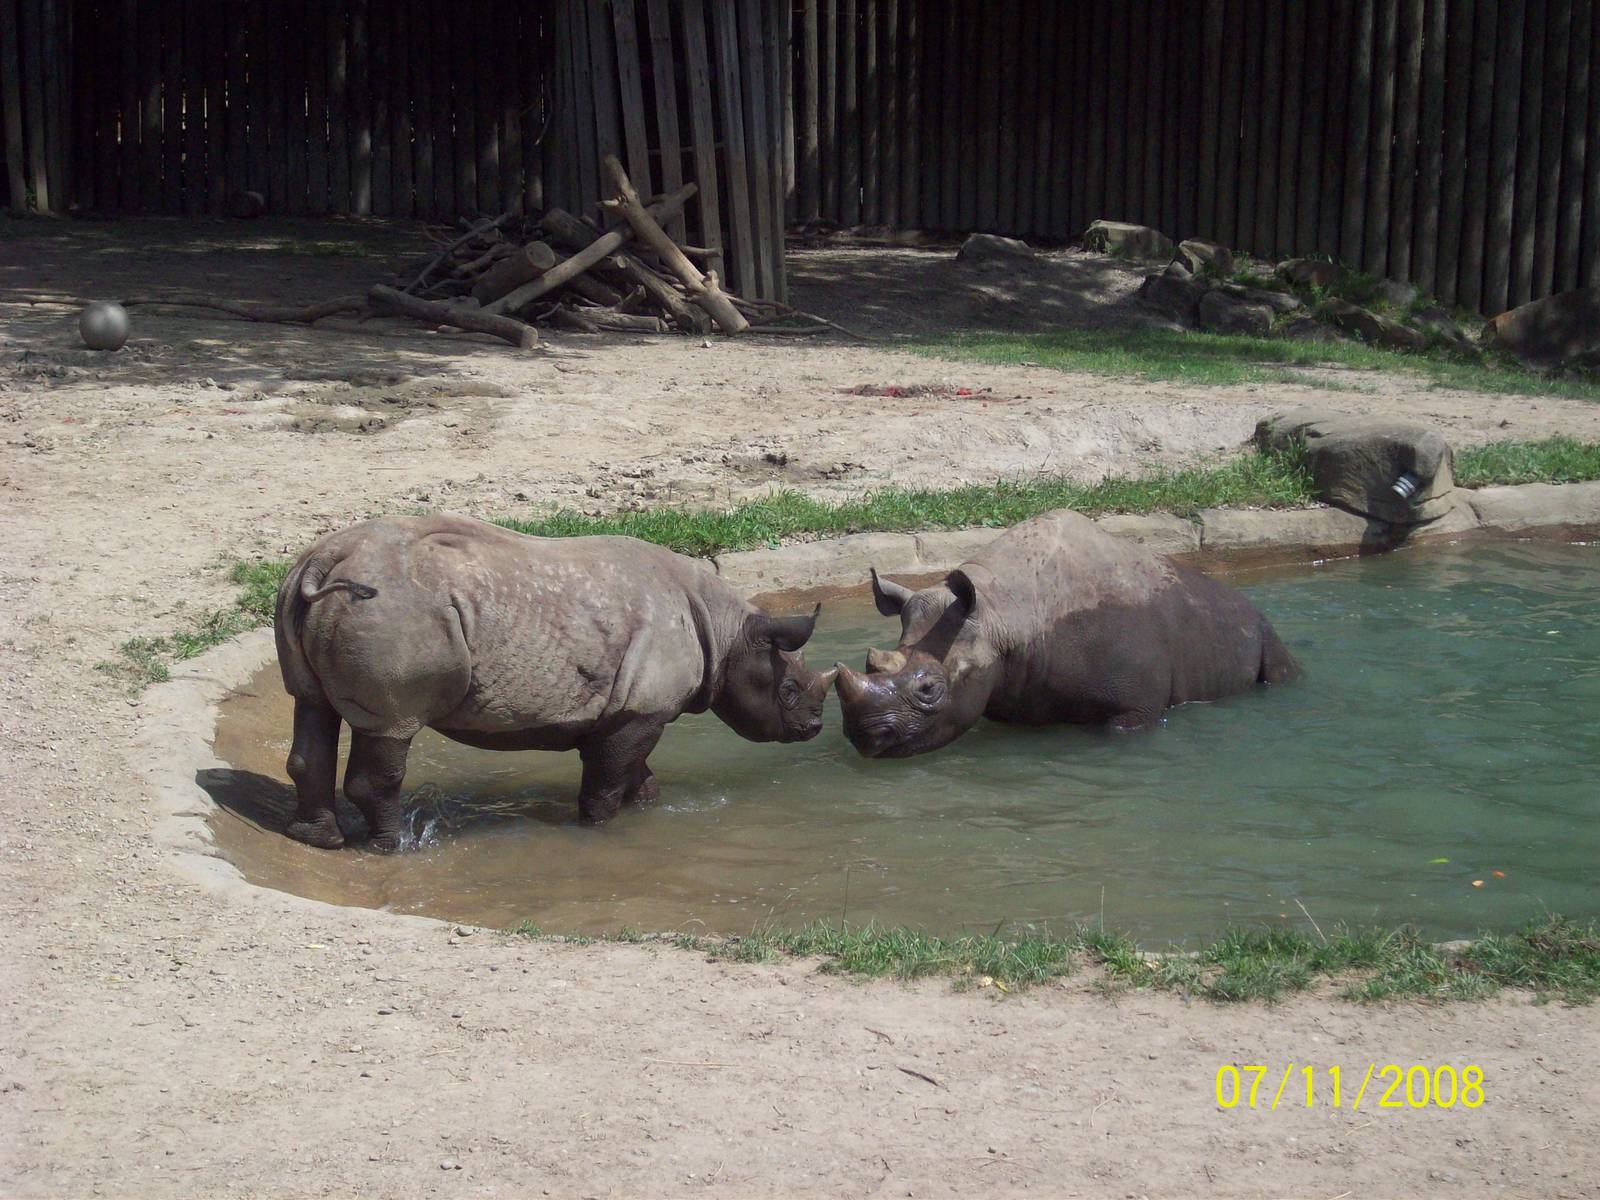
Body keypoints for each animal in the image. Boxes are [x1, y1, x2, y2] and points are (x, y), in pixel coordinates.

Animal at [274, 514, 835, 850]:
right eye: (788, 691)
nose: (813, 727)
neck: (729, 631)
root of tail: (321, 560)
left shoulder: (626, 710)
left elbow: (637, 776)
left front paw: (646, 812)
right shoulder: (639, 711)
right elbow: (608, 783)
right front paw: (594, 831)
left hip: (309, 594)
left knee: (310, 705)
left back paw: (315, 838)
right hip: (393, 614)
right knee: (392, 726)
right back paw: (390, 848)